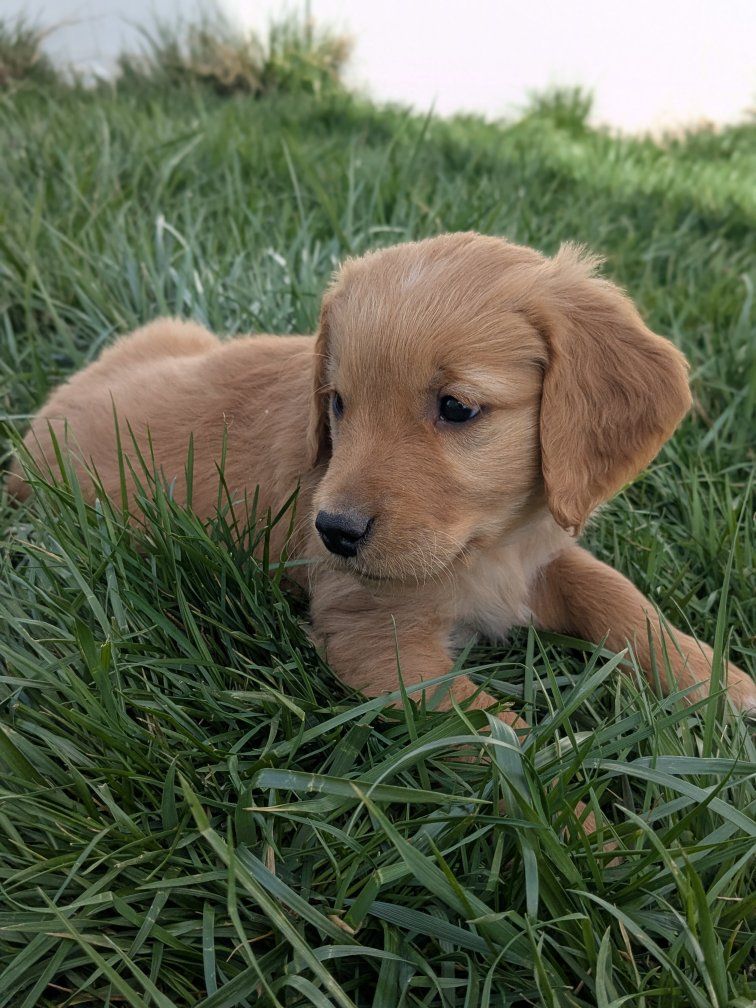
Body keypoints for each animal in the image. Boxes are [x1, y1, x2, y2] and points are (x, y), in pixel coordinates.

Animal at [10, 232, 756, 722]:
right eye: (337, 403)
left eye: (457, 408)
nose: (334, 532)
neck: (487, 547)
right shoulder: (377, 641)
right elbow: (495, 735)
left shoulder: (543, 555)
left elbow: (621, 599)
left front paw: (719, 683)